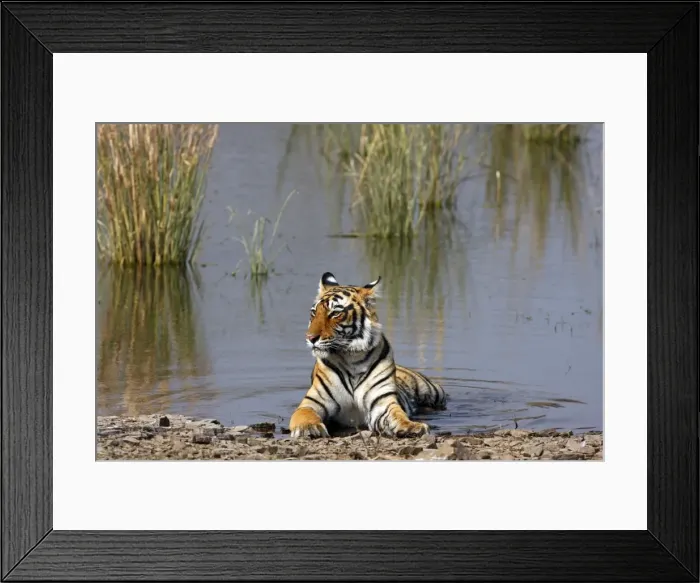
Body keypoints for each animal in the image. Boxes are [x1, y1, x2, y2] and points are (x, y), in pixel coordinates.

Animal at [289, 272, 447, 439]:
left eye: (336, 313)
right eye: (313, 313)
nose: (310, 338)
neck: (351, 357)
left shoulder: (382, 403)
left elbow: (398, 415)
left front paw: (412, 426)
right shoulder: (313, 402)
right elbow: (305, 414)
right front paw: (308, 428)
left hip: (435, 392)